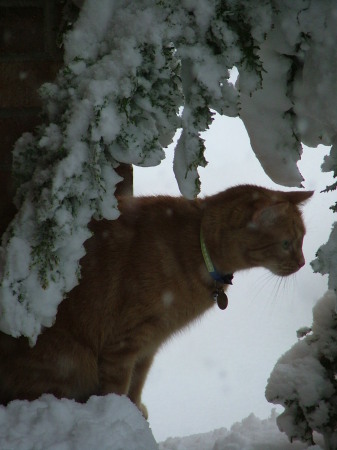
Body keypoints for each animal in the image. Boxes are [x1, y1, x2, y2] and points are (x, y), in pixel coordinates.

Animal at [0, 185, 312, 416]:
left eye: (302, 240)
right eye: (287, 243)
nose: (301, 263)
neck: (197, 248)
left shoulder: (149, 343)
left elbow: (137, 383)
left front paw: (135, 410)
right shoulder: (125, 343)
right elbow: (117, 387)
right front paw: (120, 417)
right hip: (71, 360)